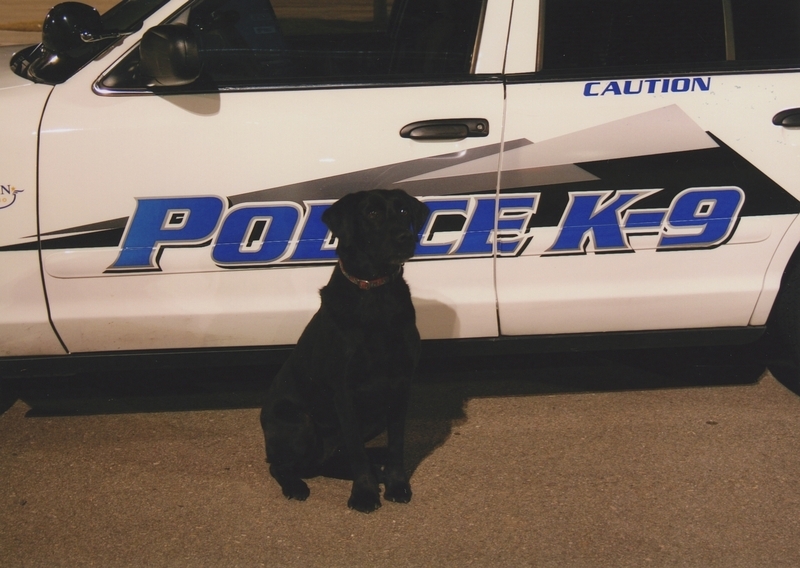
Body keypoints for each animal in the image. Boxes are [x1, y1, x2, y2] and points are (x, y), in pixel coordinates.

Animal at [260, 189, 428, 512]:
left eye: (403, 210)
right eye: (372, 213)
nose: (405, 237)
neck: (375, 293)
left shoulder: (401, 384)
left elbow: (396, 443)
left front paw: (396, 483)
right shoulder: (344, 390)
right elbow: (356, 451)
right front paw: (364, 493)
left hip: (372, 418)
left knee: (332, 460)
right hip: (300, 422)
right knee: (282, 465)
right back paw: (296, 486)